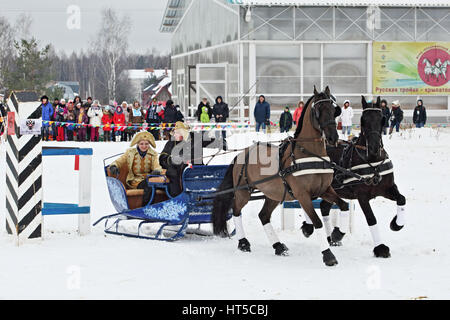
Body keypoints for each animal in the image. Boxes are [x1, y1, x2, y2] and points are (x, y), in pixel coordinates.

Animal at [213, 86, 350, 266]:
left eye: (334, 110)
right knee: (236, 211)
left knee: (263, 216)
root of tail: (243, 153)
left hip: (274, 194)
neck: (310, 154)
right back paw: (243, 243)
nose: (333, 137)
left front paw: (337, 234)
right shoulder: (303, 195)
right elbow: (318, 222)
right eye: (318, 110)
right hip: (244, 192)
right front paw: (328, 254)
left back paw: (278, 246)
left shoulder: (324, 190)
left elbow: (344, 205)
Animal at [302, 96, 408, 258]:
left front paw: (396, 224)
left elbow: (402, 199)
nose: (374, 148)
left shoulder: (388, 188)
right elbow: (371, 218)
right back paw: (309, 227)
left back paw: (330, 237)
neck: (372, 162)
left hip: (335, 190)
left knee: (324, 207)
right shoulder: (362, 196)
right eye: (363, 120)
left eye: (382, 119)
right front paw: (380, 248)